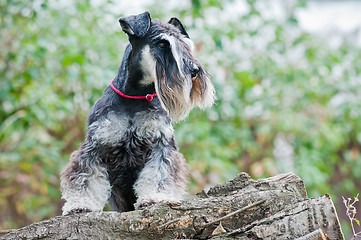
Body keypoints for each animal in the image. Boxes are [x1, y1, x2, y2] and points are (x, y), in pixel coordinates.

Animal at [60, 11, 215, 216]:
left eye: (186, 45)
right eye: (162, 44)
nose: (194, 71)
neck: (136, 95)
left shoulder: (161, 143)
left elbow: (159, 172)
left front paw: (155, 197)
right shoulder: (96, 144)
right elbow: (86, 175)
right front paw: (81, 204)